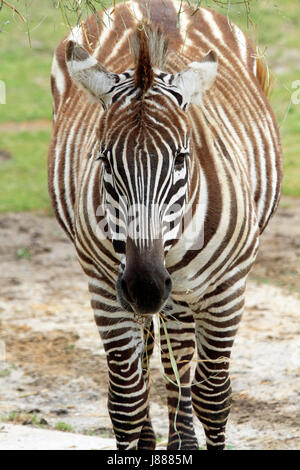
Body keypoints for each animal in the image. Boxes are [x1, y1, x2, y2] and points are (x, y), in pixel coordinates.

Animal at [48, 0, 282, 450]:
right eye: (104, 160)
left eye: (180, 159)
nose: (145, 287)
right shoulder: (105, 286)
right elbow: (125, 401)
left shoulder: (228, 287)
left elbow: (212, 396)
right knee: (158, 356)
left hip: (188, 291)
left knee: (182, 365)